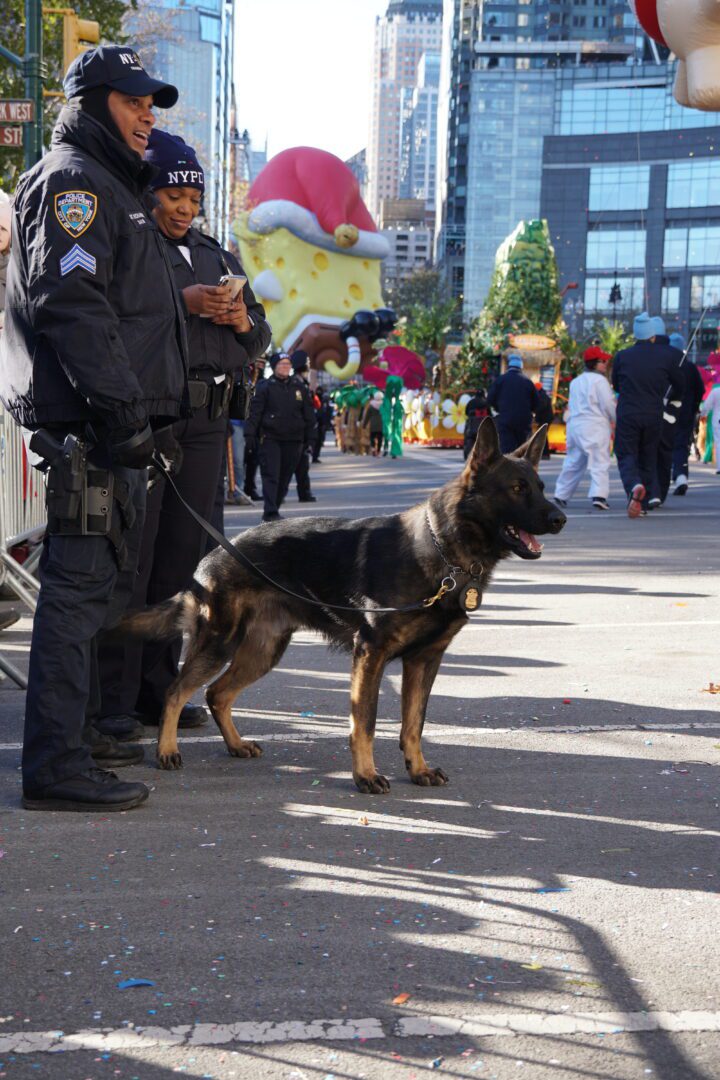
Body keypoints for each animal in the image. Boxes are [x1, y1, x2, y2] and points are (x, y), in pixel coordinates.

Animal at [120, 419, 565, 794]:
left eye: (541, 486)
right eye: (517, 488)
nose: (560, 518)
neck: (444, 550)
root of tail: (212, 556)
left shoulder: (424, 661)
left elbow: (414, 724)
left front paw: (417, 769)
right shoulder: (370, 655)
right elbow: (364, 723)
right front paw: (365, 775)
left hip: (264, 651)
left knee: (217, 693)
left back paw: (235, 744)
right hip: (220, 643)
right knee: (176, 691)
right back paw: (166, 750)